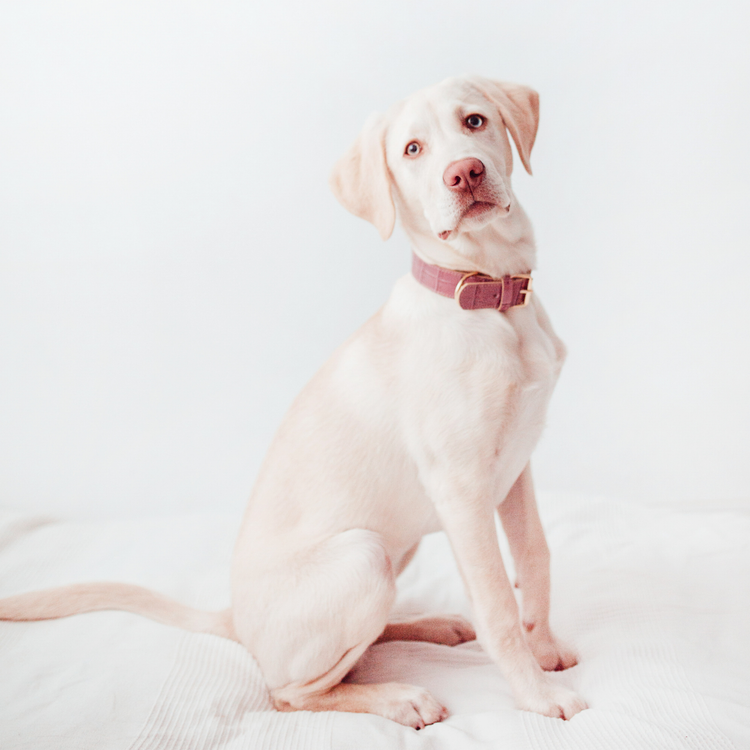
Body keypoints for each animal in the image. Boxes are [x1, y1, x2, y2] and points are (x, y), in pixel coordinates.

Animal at [0, 79, 588, 732]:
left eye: (475, 121)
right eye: (411, 150)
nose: (464, 172)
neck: (489, 299)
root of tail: (235, 620)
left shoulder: (514, 468)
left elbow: (535, 557)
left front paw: (545, 649)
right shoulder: (462, 490)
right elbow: (497, 604)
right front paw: (537, 696)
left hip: (395, 547)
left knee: (360, 645)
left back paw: (429, 625)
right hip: (364, 556)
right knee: (291, 692)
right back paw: (398, 696)